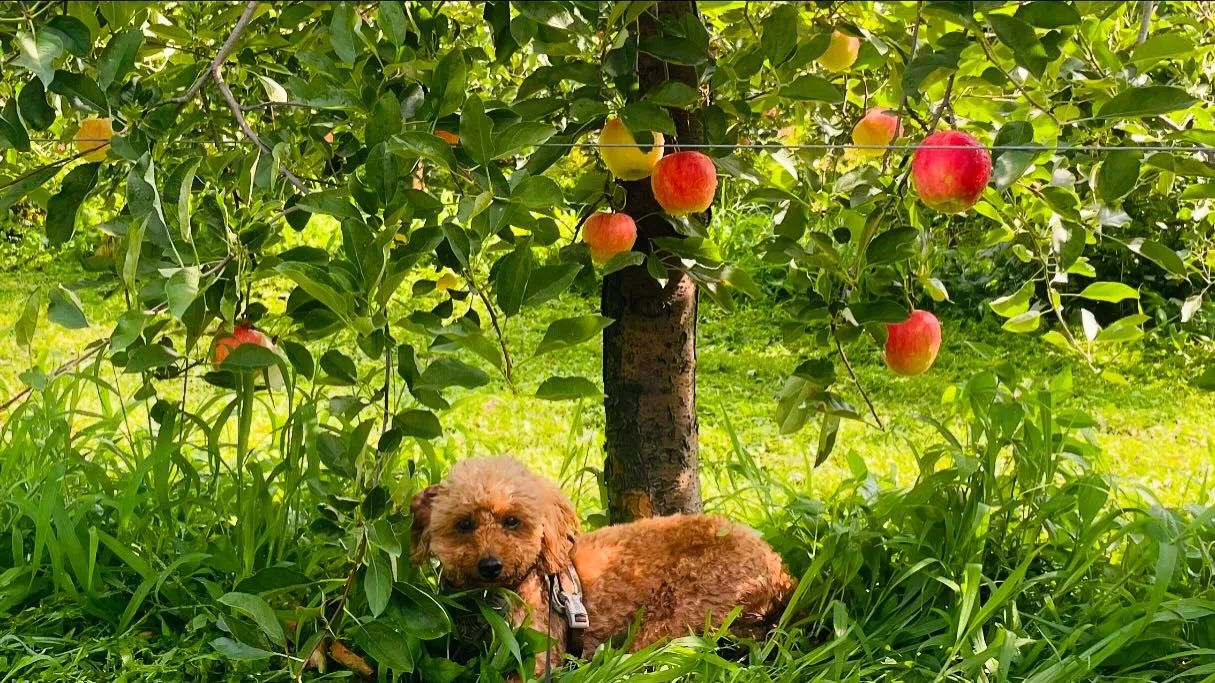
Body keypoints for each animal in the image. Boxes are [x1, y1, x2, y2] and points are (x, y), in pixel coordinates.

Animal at [410, 454, 797, 670]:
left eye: (512, 521)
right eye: (464, 524)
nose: (490, 565)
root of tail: (781, 573)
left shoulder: (539, 652)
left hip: (679, 615)